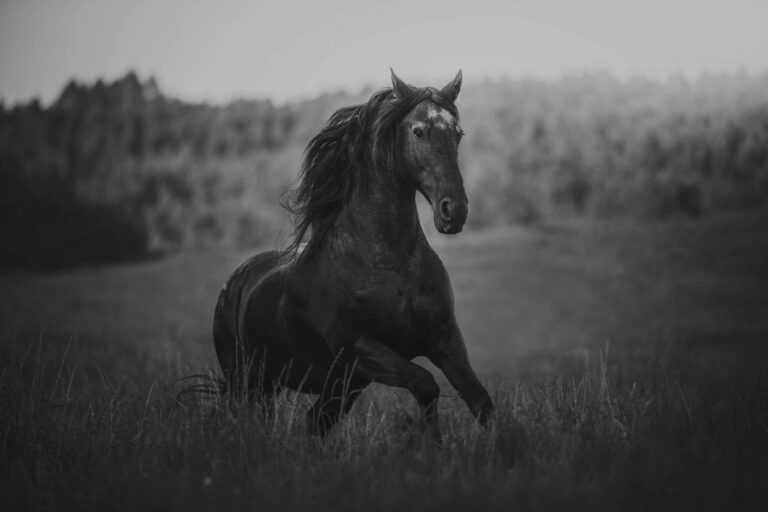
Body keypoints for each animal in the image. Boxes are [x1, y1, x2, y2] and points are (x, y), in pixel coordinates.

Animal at [213, 69, 494, 442]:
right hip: (248, 380)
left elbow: (480, 400)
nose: (455, 211)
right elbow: (425, 384)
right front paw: (429, 445)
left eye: (458, 134)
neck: (388, 264)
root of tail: (233, 284)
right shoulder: (358, 349)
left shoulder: (444, 338)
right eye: (419, 131)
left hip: (336, 388)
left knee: (313, 423)